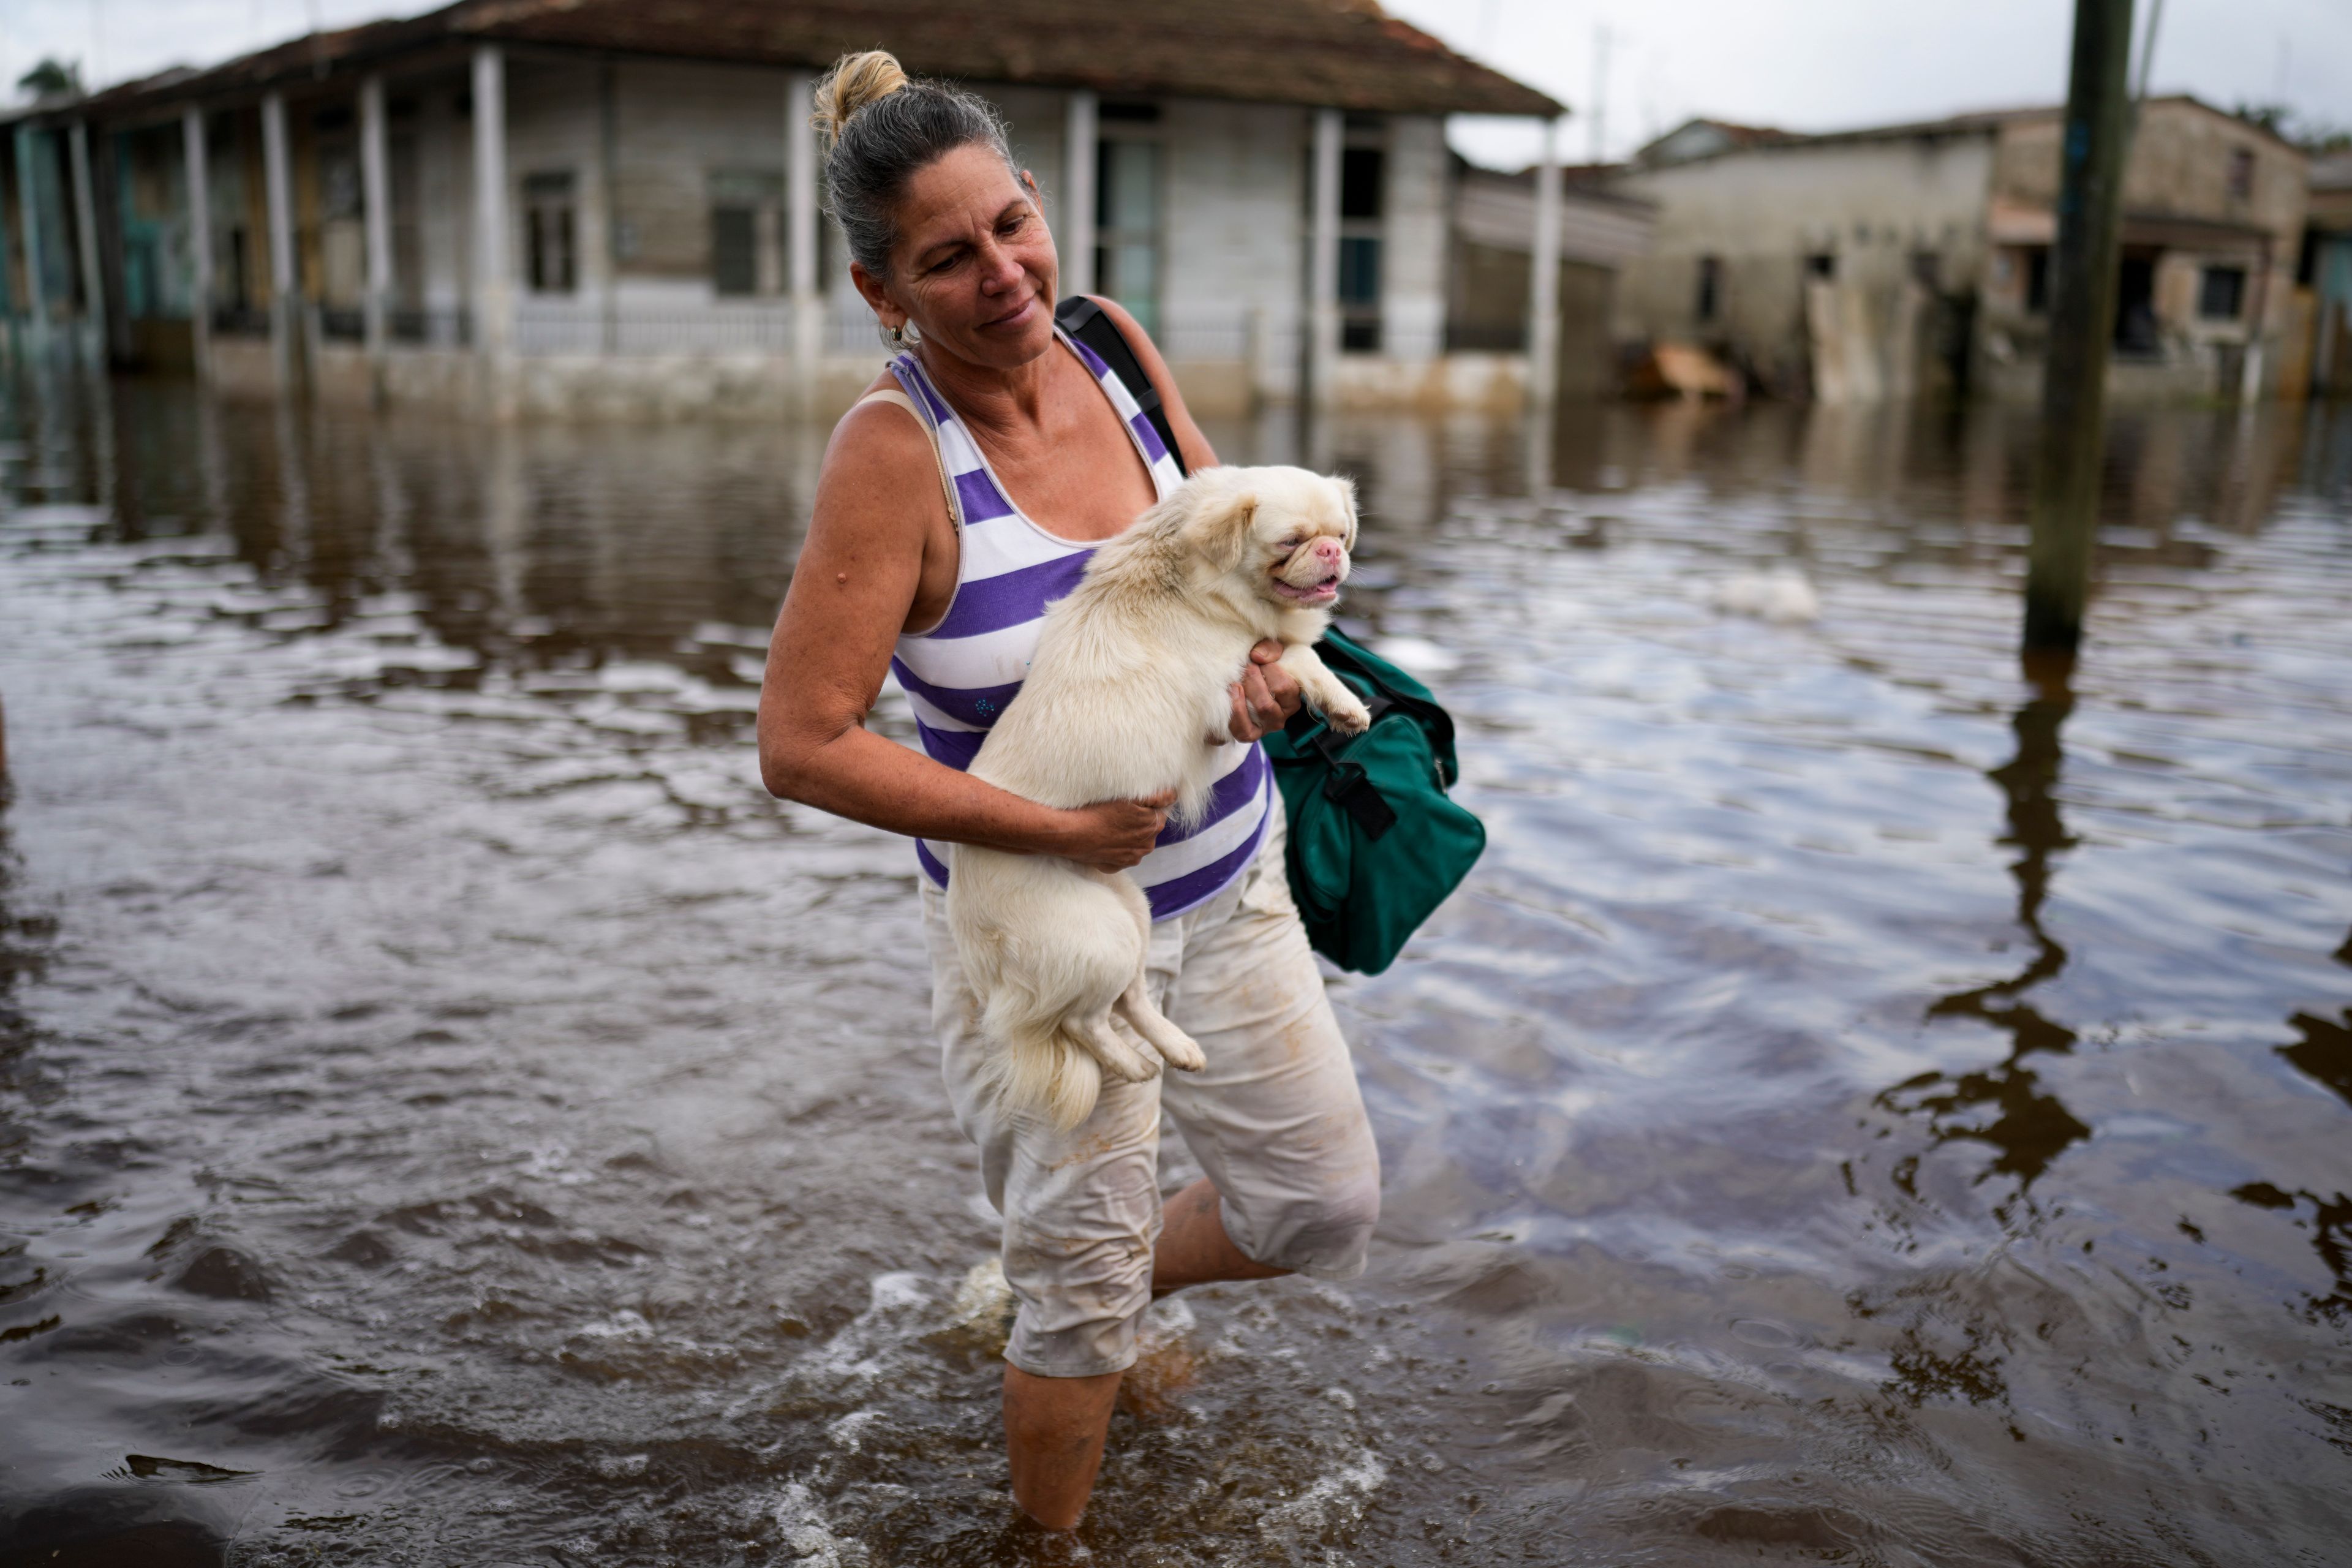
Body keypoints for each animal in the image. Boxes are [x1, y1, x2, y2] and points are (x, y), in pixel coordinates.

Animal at [945, 465, 1373, 1128]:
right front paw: (1348, 707)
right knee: (1085, 1020)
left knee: (1131, 999)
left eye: (1340, 534)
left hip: (1133, 909)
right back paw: (1133, 1066)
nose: (1330, 553)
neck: (1197, 578)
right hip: (1099, 938)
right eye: (1290, 542)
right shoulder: (1233, 674)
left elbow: (1297, 653)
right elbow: (1300, 656)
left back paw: (1176, 1048)